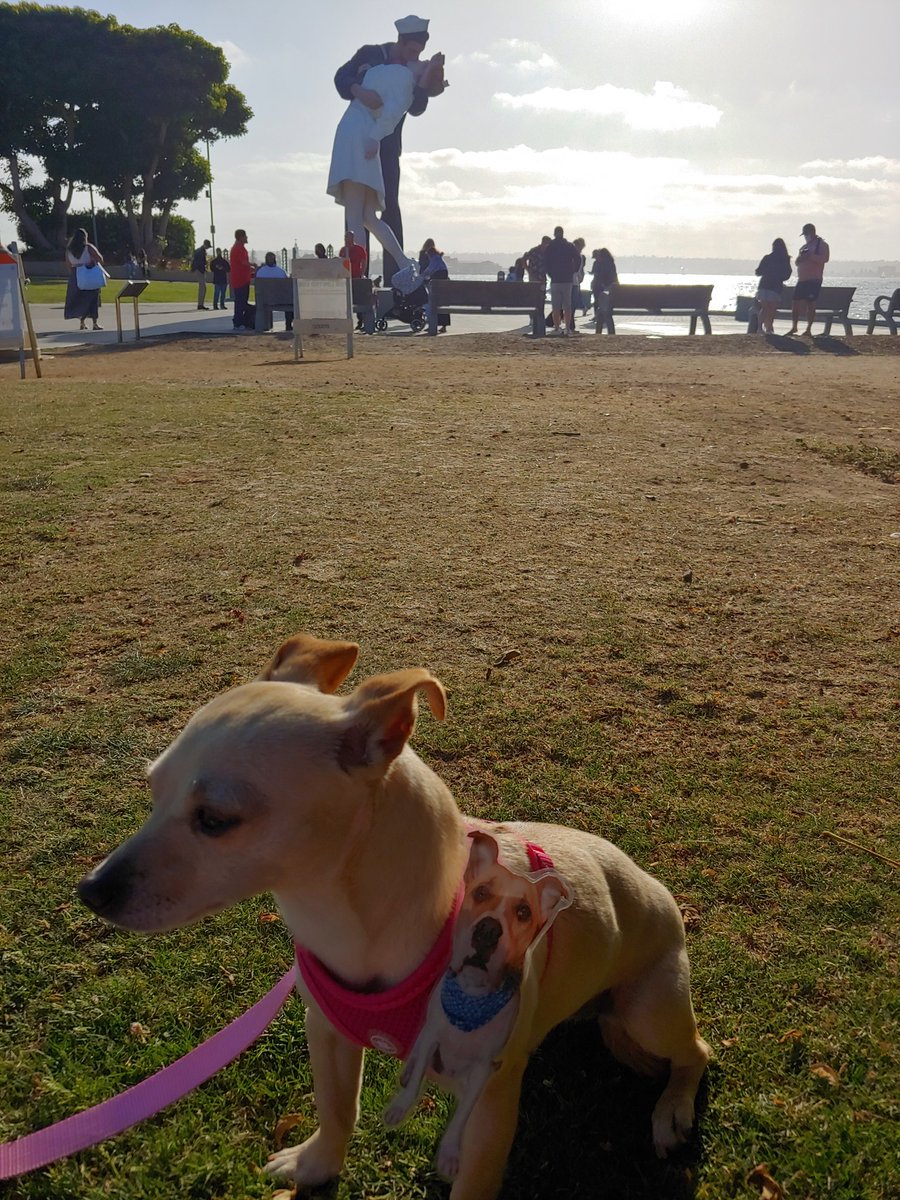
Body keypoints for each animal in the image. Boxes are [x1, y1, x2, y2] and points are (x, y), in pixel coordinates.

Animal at [77, 633, 710, 1195]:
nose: (91, 890)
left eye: (214, 820)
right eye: (152, 790)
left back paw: (672, 1111)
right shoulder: (328, 1031)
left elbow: (471, 1183)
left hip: (649, 1011)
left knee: (695, 1052)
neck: (344, 920)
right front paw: (317, 1166)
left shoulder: (487, 1106)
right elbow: (338, 1110)